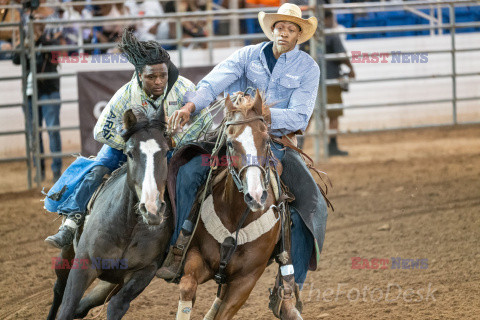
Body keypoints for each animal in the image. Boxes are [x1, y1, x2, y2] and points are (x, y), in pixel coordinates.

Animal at [47, 109, 173, 318]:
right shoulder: (83, 265)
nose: (152, 209)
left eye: (165, 152)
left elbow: (117, 305)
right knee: (59, 289)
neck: (128, 227)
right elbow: (67, 306)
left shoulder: (145, 271)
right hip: (67, 255)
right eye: (130, 153)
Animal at [174, 92, 302, 320]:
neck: (236, 219)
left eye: (266, 140)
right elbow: (187, 287)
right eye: (231, 143)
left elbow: (223, 313)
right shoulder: (197, 256)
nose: (256, 196)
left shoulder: (246, 281)